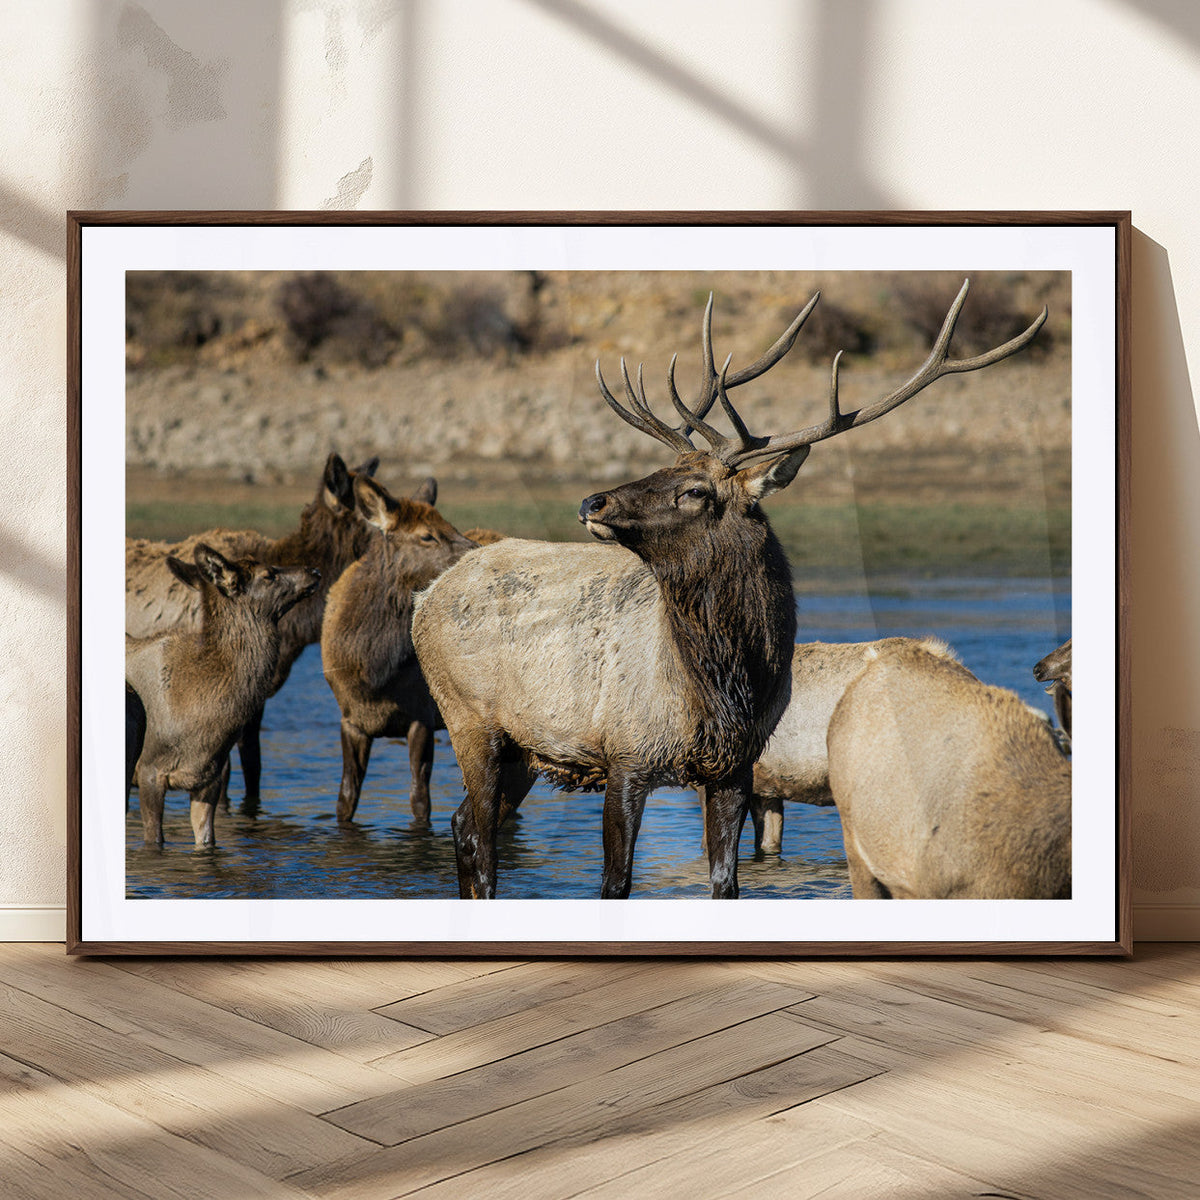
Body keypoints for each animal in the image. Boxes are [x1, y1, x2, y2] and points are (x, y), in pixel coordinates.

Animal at [126, 544, 320, 848]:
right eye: (268, 574)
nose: (314, 571)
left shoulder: (209, 777)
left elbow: (207, 840)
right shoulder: (148, 770)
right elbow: (154, 840)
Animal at [321, 474, 478, 824]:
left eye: (452, 525)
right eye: (426, 535)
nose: (477, 552)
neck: (374, 672)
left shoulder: (422, 716)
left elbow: (420, 800)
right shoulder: (349, 719)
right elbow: (345, 799)